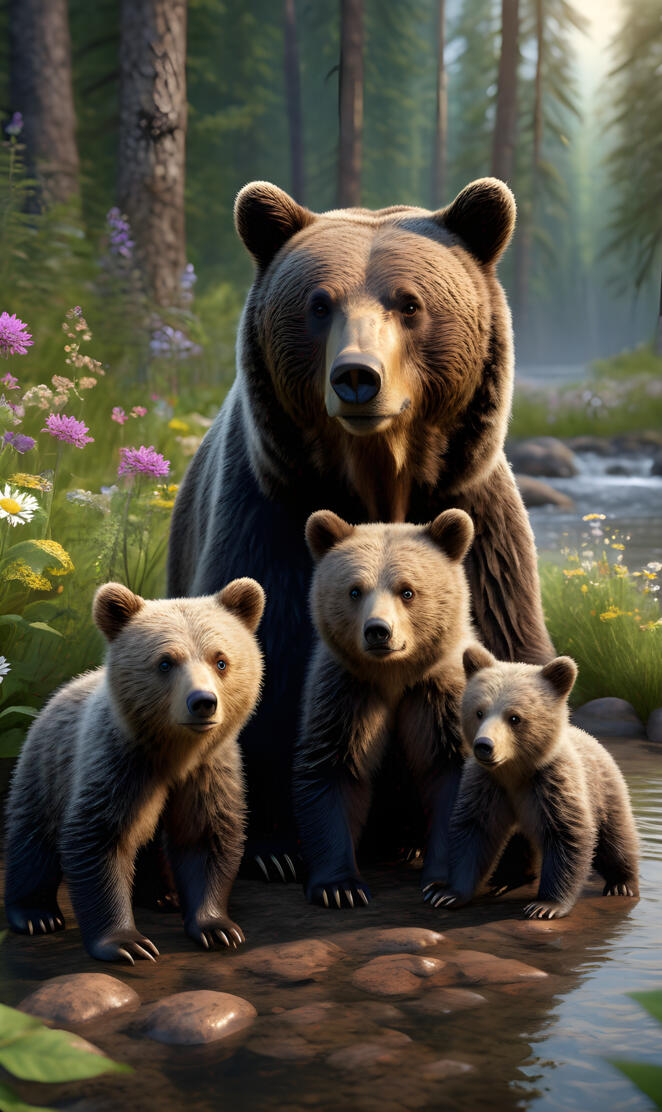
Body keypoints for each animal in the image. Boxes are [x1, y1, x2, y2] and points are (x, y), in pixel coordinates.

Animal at [4, 578, 265, 963]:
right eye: (165, 662)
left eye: (220, 660)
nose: (203, 702)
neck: (175, 752)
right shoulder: (119, 764)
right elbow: (99, 839)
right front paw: (127, 943)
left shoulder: (208, 771)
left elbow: (204, 835)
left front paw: (218, 928)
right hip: (48, 765)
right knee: (33, 836)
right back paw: (36, 914)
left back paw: (163, 895)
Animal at [293, 507, 486, 907]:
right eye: (355, 590)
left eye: (407, 590)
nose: (378, 631)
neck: (394, 674)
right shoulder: (346, 695)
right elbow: (332, 771)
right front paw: (340, 888)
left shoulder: (438, 696)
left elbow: (452, 776)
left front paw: (439, 885)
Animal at [428, 646, 639, 918]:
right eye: (479, 711)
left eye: (514, 718)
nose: (484, 745)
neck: (514, 770)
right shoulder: (485, 785)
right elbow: (473, 832)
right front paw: (444, 893)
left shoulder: (552, 784)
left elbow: (567, 835)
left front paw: (545, 905)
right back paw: (506, 881)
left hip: (604, 789)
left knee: (615, 837)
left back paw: (622, 883)